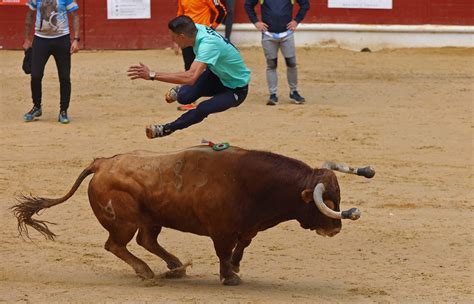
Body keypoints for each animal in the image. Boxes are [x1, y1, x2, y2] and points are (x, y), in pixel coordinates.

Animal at [12, 145, 374, 284]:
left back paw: (175, 266)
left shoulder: (246, 229)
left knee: (146, 241)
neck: (253, 184)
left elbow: (241, 249)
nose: (335, 228)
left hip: (151, 219)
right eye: (325, 200)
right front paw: (229, 277)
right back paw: (147, 272)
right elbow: (224, 252)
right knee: (116, 245)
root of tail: (101, 163)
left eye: (338, 195)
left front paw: (235, 269)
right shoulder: (221, 231)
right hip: (124, 222)